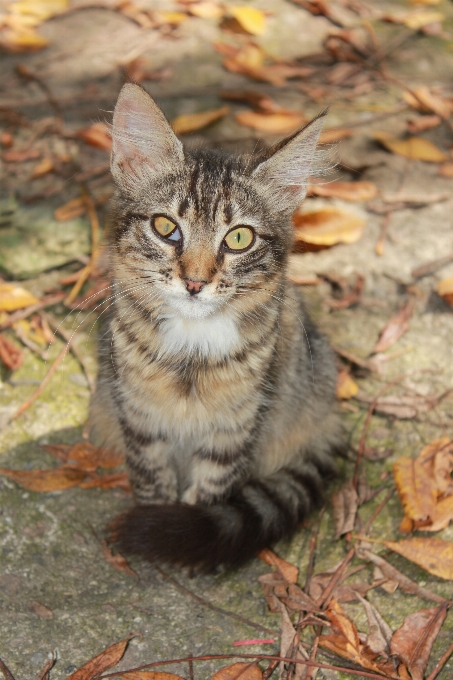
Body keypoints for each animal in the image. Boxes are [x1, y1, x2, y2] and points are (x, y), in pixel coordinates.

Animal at [89, 83, 340, 568]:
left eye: (239, 238)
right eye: (165, 227)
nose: (195, 282)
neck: (191, 345)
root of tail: (330, 422)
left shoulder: (238, 423)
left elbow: (212, 491)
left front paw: (181, 531)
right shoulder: (137, 412)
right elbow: (151, 476)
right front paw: (159, 518)